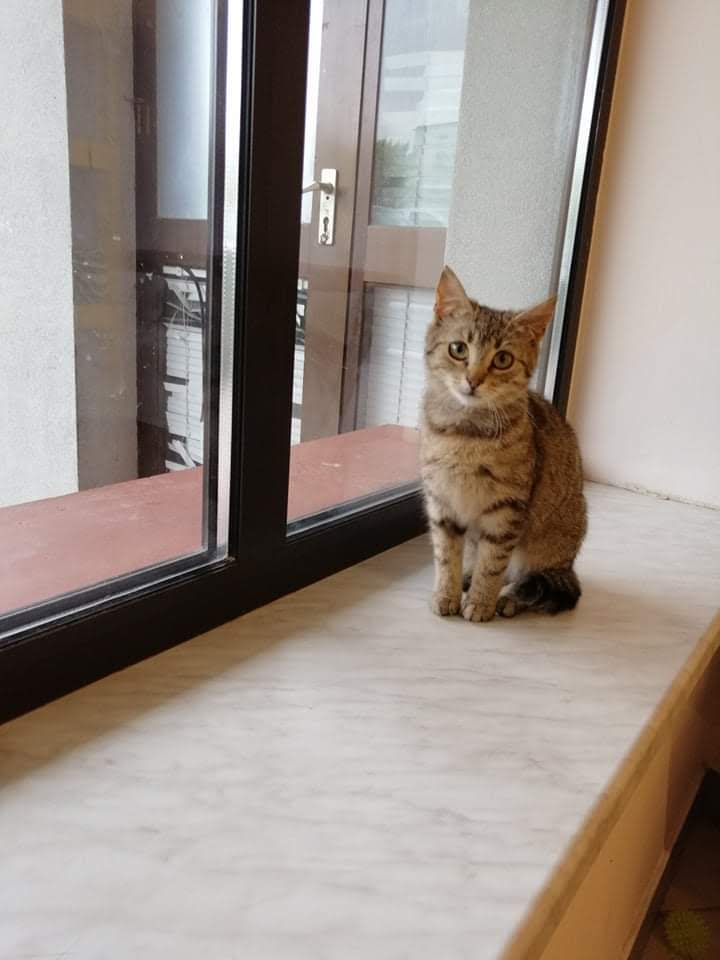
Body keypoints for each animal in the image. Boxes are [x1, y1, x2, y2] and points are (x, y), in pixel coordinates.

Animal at [420, 266, 587, 622]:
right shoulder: (442, 503)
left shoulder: (506, 511)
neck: (465, 433)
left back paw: (507, 599)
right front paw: (446, 594)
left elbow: (493, 563)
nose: (473, 380)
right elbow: (446, 557)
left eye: (503, 359)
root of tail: (570, 564)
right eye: (458, 349)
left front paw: (481, 603)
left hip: (548, 547)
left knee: (534, 580)